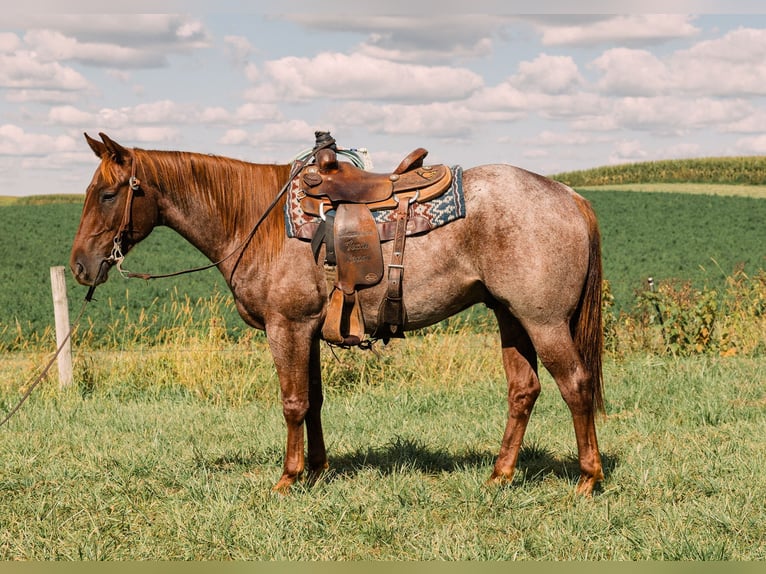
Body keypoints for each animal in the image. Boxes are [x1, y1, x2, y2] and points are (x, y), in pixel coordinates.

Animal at [70, 133, 608, 498]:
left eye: (108, 194)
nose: (79, 265)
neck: (257, 222)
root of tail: (570, 195)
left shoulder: (285, 328)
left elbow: (292, 403)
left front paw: (288, 478)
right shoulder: (305, 330)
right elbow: (313, 402)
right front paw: (317, 469)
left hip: (543, 322)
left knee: (575, 385)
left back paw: (587, 479)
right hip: (510, 317)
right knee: (524, 390)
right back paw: (499, 475)